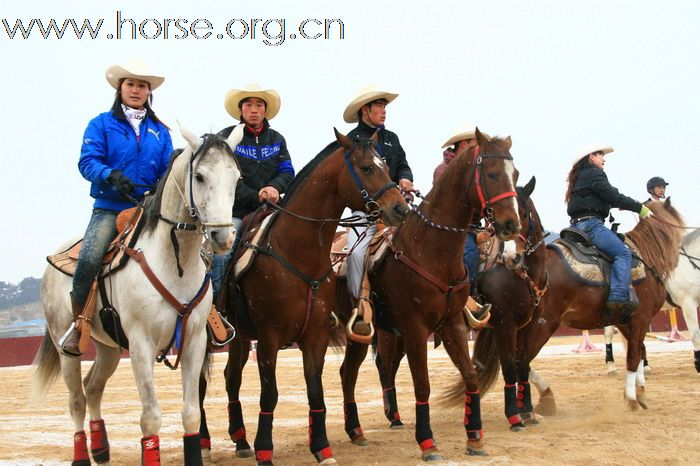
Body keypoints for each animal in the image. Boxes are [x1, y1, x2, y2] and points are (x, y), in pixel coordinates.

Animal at [32, 124, 243, 466]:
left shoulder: (195, 340)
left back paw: (101, 449)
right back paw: (82, 455)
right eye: (199, 176)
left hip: (108, 348)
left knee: (93, 387)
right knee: (77, 399)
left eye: (236, 177)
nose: (223, 236)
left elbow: (190, 413)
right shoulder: (141, 344)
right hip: (67, 346)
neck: (174, 261)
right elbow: (150, 417)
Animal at [201, 128, 410, 466]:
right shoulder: (269, 338)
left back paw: (240, 440)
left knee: (231, 378)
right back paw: (205, 442)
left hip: (240, 339)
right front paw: (265, 450)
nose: (400, 209)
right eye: (367, 168)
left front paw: (322, 448)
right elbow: (269, 394)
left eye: (386, 167)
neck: (296, 253)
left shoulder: (315, 336)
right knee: (199, 384)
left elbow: (315, 390)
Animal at [334, 129, 520, 460]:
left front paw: (475, 438)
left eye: (516, 174)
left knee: (349, 373)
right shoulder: (416, 329)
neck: (430, 249)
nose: (511, 224)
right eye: (491, 173)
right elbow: (422, 385)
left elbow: (470, 375)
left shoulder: (451, 324)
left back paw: (357, 432)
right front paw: (428, 443)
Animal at [448, 197, 684, 422]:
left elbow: (638, 351)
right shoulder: (640, 319)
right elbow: (634, 356)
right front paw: (632, 399)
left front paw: (640, 393)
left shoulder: (628, 322)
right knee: (518, 361)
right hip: (539, 326)